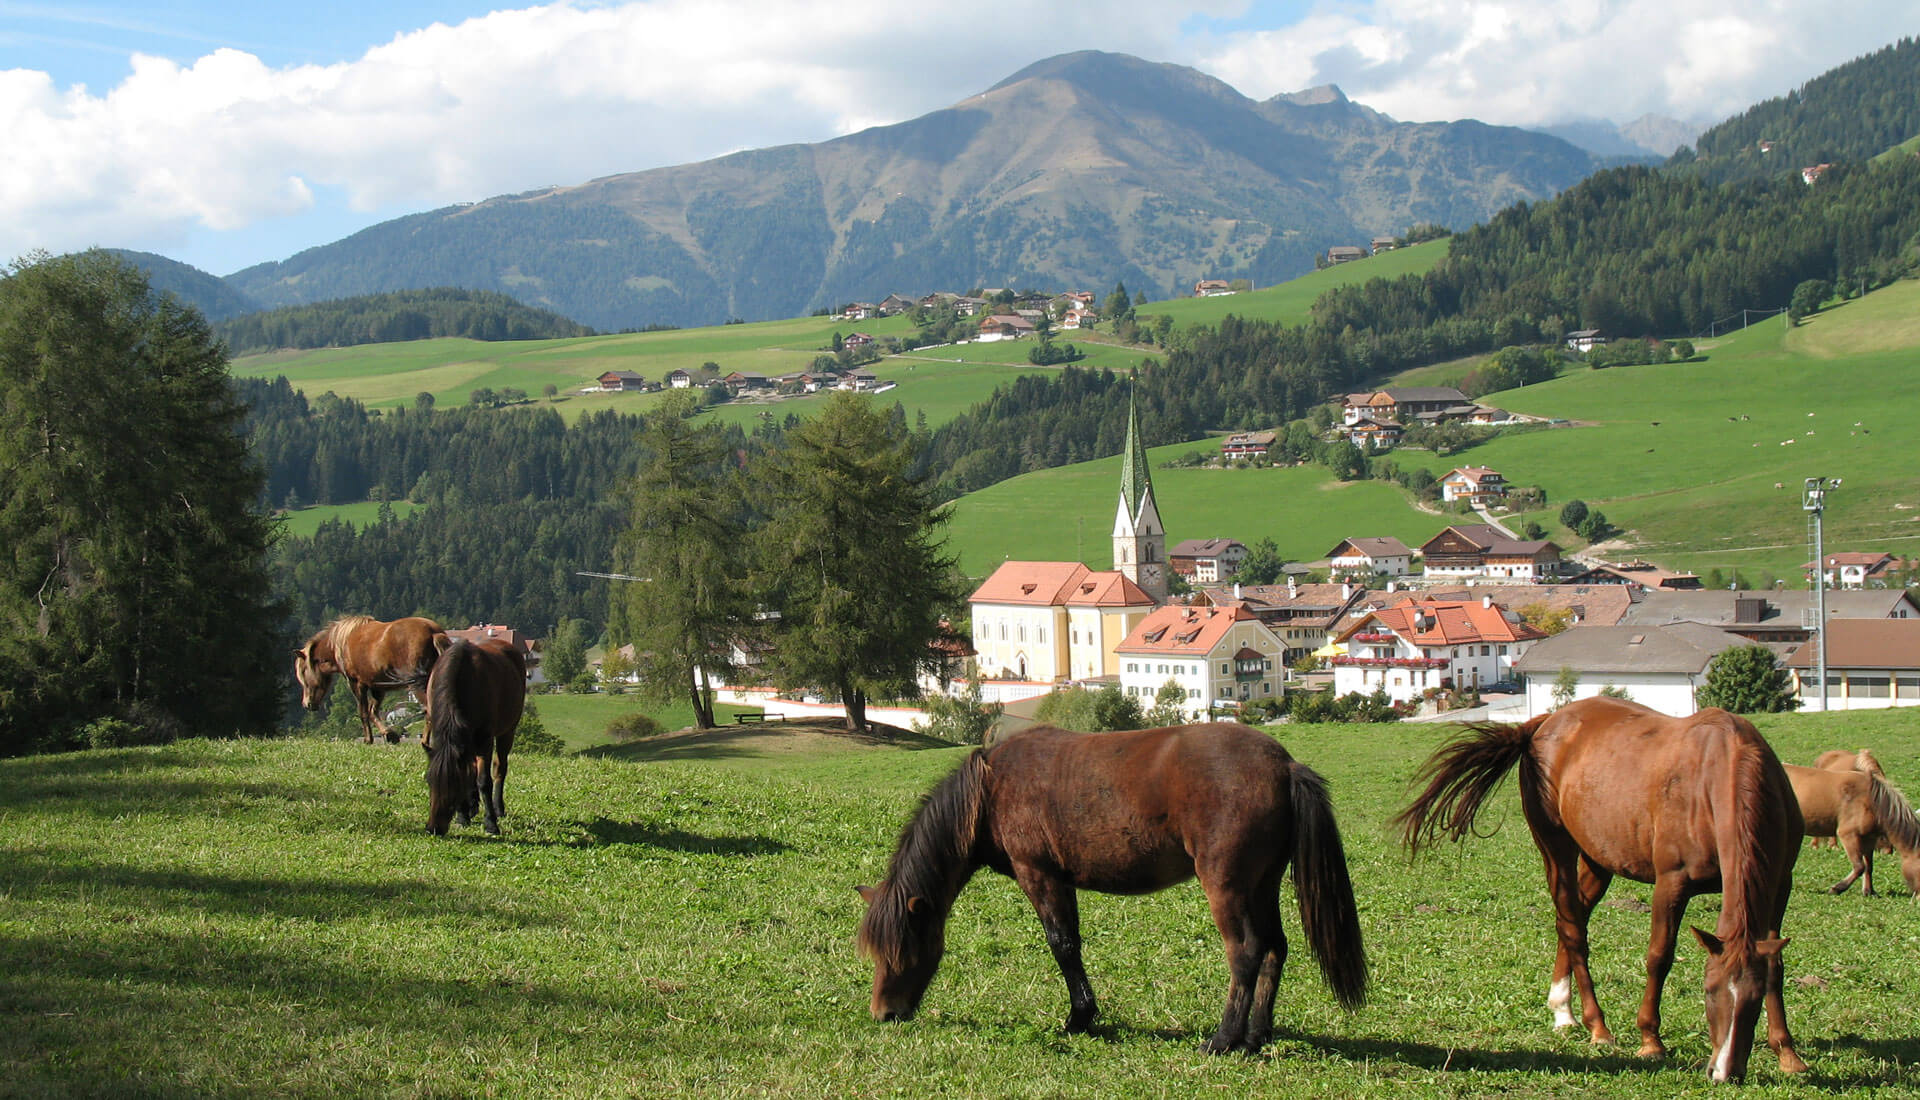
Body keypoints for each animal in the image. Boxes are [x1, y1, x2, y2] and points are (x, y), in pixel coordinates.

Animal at [291, 614, 449, 741]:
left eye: (303, 672)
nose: (307, 704)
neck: (342, 643)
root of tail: (434, 633)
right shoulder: (377, 687)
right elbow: (373, 711)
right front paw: (389, 734)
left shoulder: (356, 683)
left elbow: (363, 711)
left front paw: (368, 739)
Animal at [426, 633, 526, 833]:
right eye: (428, 781)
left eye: (453, 785)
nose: (434, 828)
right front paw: (463, 815)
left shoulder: (484, 740)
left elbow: (484, 781)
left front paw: (490, 822)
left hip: (507, 731)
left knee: (499, 767)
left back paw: (498, 808)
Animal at [856, 721, 1367, 1052]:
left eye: (901, 949)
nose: (883, 1013)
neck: (991, 789)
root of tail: (1283, 765)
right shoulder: (1060, 879)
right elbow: (1071, 943)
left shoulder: (1038, 873)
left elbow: (1063, 945)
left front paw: (1079, 1017)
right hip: (1262, 885)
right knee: (1275, 948)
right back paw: (1258, 1035)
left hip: (1228, 886)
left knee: (1246, 952)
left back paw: (1224, 1039)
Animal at [1390, 694, 1804, 1082]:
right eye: (1709, 990)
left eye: (1752, 1000)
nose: (1725, 1071)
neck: (1719, 773)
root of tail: (1545, 723)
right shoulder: (1672, 883)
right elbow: (1659, 956)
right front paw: (1650, 1041)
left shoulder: (1779, 884)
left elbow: (1776, 964)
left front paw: (1787, 1053)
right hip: (1556, 847)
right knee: (1573, 927)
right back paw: (1596, 1025)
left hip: (1597, 859)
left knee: (1571, 919)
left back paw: (1562, 1009)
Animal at [1774, 760, 1912, 894]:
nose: (1888, 852)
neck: (1871, 800)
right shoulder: (1848, 835)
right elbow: (1859, 866)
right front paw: (1838, 888)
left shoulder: (1868, 839)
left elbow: (1869, 866)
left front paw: (1869, 891)